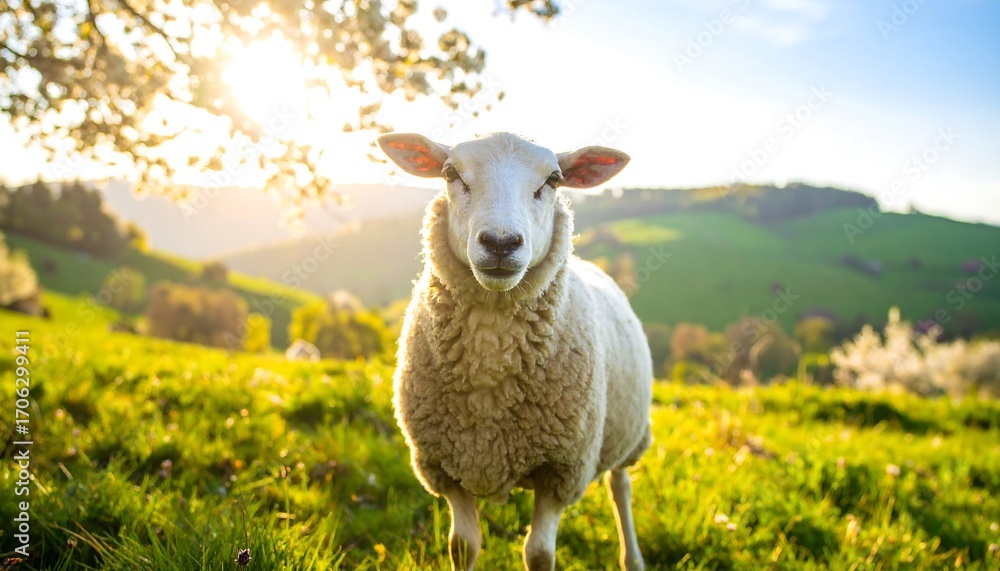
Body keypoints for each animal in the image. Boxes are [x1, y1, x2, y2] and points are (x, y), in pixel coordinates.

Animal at [379, 132, 653, 571]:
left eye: (554, 180)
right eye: (450, 173)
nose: (501, 242)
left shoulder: (563, 471)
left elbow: (539, 554)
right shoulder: (444, 466)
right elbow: (462, 546)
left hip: (626, 434)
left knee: (620, 485)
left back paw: (633, 557)